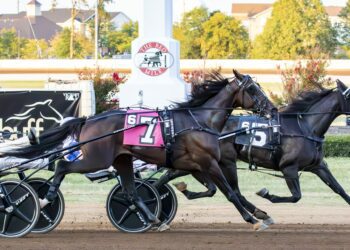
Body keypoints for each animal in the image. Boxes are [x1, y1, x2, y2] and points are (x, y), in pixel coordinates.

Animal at [6, 70, 274, 230]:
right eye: (253, 89)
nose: (271, 109)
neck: (199, 121)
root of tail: (89, 120)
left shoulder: (196, 165)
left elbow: (216, 190)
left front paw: (261, 214)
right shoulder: (208, 163)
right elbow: (230, 192)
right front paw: (252, 219)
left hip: (122, 160)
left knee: (131, 192)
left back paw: (154, 219)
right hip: (96, 158)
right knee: (62, 165)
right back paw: (45, 197)